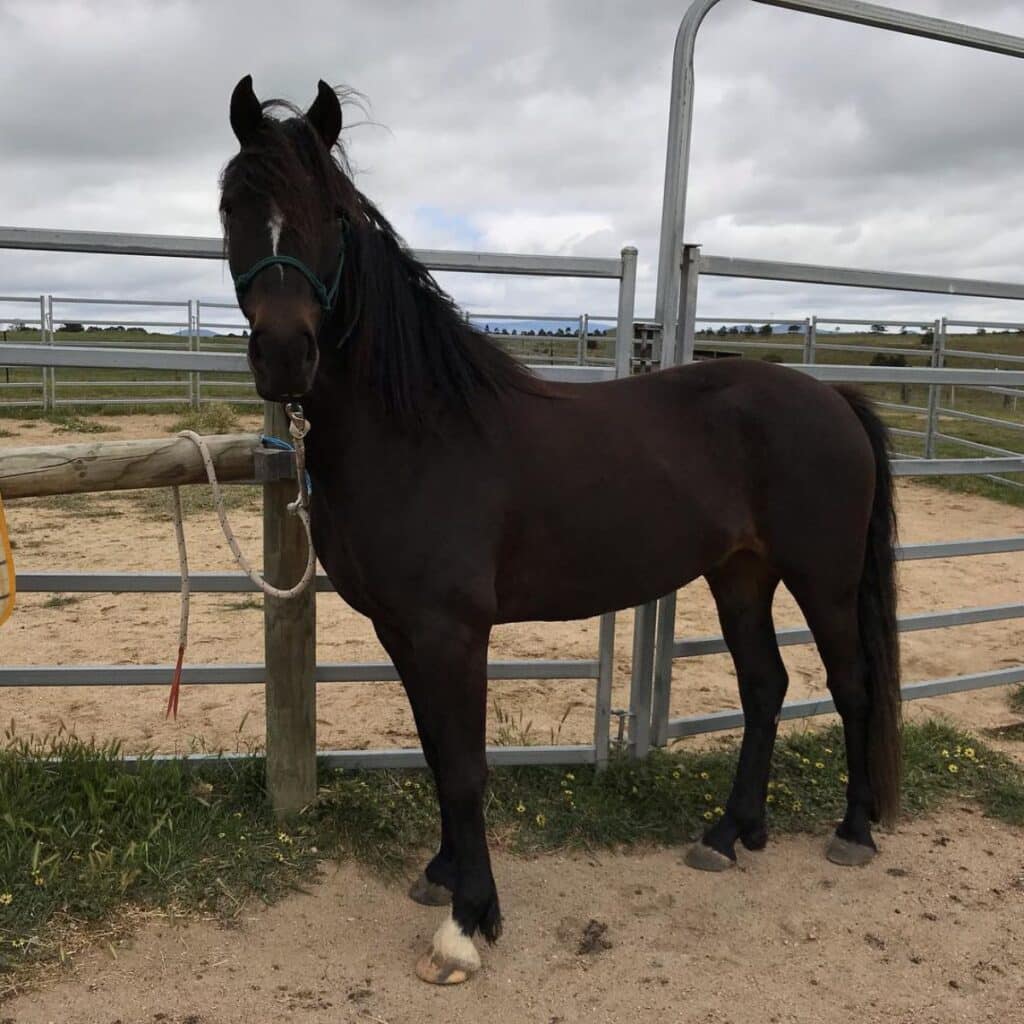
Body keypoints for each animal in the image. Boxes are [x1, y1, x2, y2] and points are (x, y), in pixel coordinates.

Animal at [219, 75, 901, 985]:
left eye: (331, 212)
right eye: (231, 206)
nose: (286, 355)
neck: (420, 430)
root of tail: (833, 399)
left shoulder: (451, 630)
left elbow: (464, 767)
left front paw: (469, 923)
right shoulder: (403, 629)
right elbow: (434, 751)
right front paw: (444, 877)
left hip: (821, 576)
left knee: (851, 684)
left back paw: (852, 832)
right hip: (740, 574)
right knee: (766, 687)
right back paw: (730, 834)